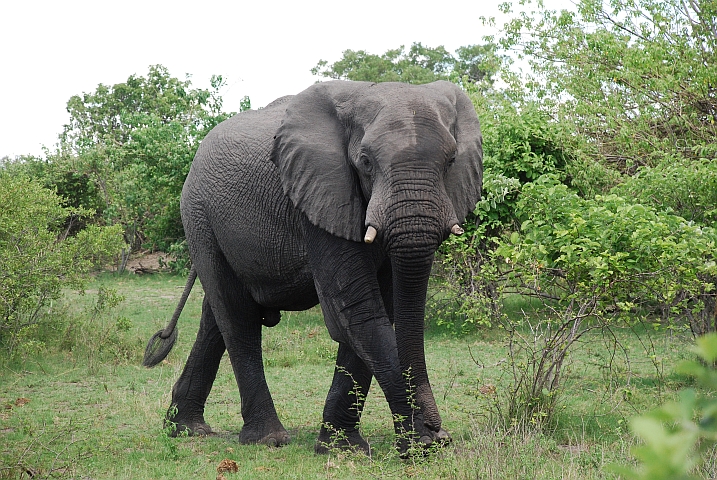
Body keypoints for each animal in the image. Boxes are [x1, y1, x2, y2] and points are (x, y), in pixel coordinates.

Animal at [143, 80, 482, 456]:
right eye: (365, 162)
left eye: (451, 161)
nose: (440, 430)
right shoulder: (318, 193)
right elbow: (356, 310)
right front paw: (420, 443)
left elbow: (381, 306)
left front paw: (343, 448)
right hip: (199, 216)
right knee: (235, 313)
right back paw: (267, 439)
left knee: (215, 316)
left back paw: (186, 430)